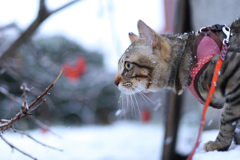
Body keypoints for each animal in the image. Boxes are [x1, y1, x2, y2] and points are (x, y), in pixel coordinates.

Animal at [114, 19, 240, 151]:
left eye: (127, 65)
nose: (115, 82)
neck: (188, 59)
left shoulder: (234, 73)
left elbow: (228, 118)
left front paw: (219, 144)